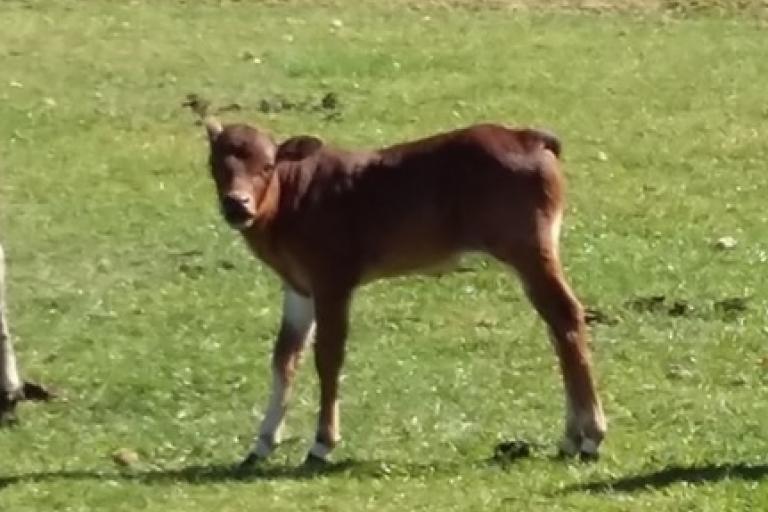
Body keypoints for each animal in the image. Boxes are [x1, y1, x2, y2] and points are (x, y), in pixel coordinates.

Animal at [202, 119, 608, 464]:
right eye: (215, 164)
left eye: (268, 165)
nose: (237, 204)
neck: (291, 203)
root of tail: (532, 138)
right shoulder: (297, 285)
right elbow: (285, 356)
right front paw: (261, 443)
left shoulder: (332, 276)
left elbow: (328, 355)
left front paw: (322, 443)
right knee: (556, 325)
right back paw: (571, 436)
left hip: (527, 245)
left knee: (566, 314)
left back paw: (590, 436)